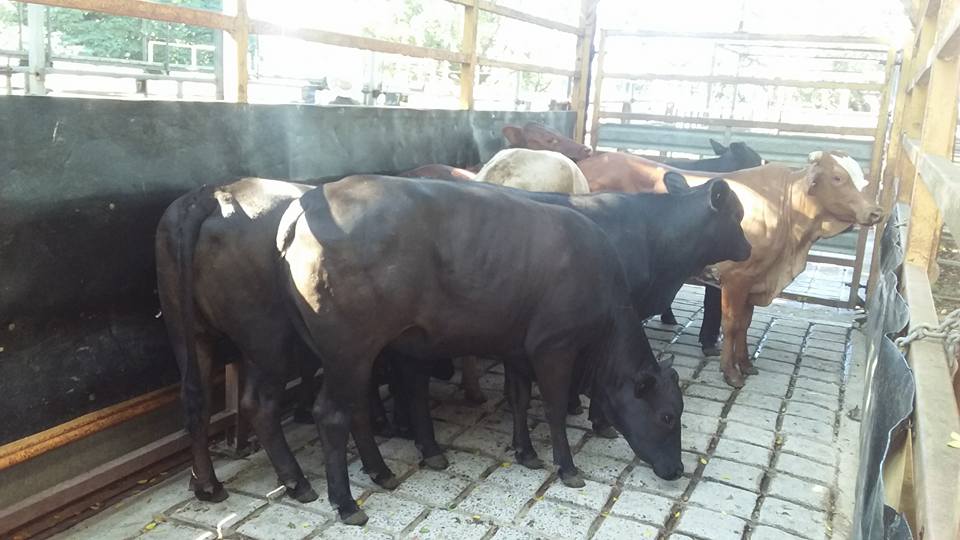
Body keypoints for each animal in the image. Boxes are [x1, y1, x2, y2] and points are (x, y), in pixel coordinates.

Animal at [277, 175, 684, 525]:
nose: (678, 469)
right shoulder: (554, 349)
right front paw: (567, 467)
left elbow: (519, 399)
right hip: (348, 352)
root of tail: (309, 201)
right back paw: (346, 502)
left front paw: (526, 452)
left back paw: (380, 471)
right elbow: (553, 409)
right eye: (667, 416)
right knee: (332, 415)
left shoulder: (518, 350)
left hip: (358, 355)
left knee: (358, 407)